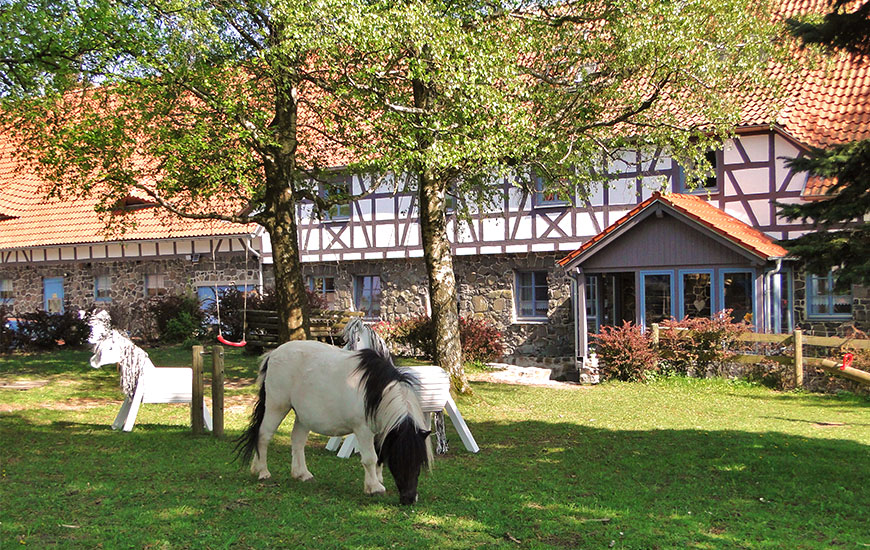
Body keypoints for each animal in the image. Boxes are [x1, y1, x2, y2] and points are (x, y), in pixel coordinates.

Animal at [237, 338, 434, 506]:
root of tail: (273, 354)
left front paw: (376, 481)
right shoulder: (363, 430)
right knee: (264, 435)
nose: (409, 499)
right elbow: (370, 458)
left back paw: (301, 474)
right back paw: (262, 471)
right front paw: (375, 488)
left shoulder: (381, 431)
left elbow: (379, 457)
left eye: (419, 463)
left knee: (297, 442)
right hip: (276, 407)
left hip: (302, 416)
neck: (375, 389)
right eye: (398, 461)